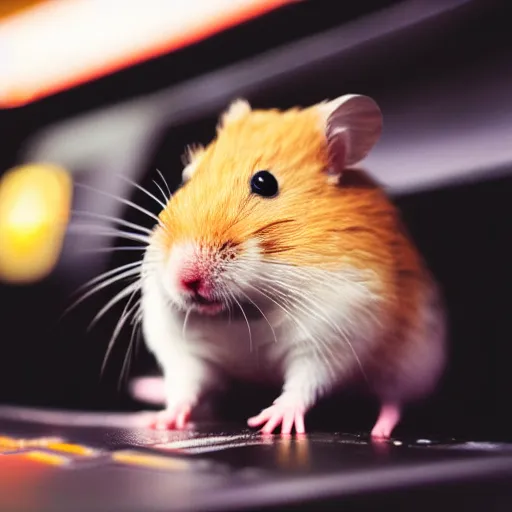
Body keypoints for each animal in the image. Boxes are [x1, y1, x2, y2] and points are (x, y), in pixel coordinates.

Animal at [139, 94, 444, 438]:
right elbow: (186, 385)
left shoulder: (333, 332)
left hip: (411, 366)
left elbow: (305, 381)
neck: (247, 308)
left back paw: (379, 430)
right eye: (187, 177)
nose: (186, 279)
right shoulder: (184, 349)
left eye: (264, 182)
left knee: (393, 399)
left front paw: (269, 423)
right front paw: (159, 423)